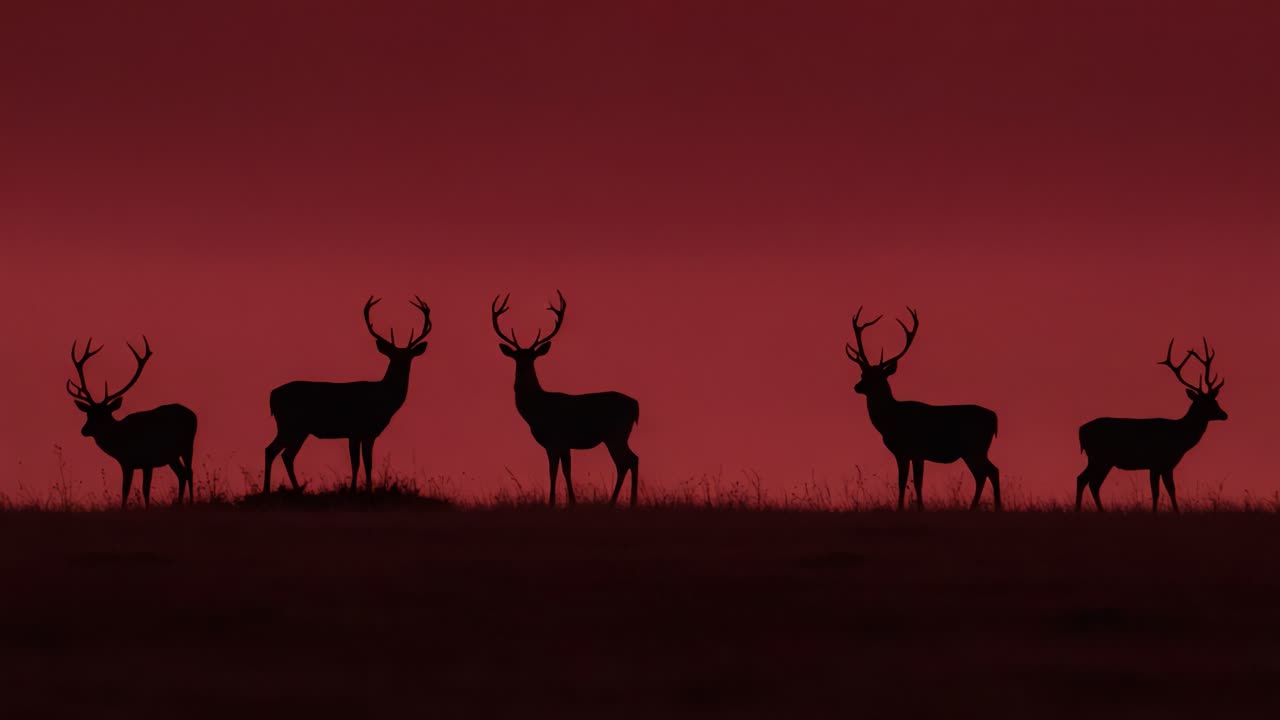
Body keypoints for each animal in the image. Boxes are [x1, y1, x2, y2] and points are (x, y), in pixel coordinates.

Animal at [66, 337, 198, 508]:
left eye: (103, 414)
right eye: (88, 413)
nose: (84, 430)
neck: (123, 442)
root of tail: (193, 414)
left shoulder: (148, 460)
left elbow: (145, 489)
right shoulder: (126, 464)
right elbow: (125, 490)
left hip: (188, 445)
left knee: (189, 472)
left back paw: (192, 502)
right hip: (172, 455)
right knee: (182, 474)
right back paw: (180, 503)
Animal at [264, 296, 431, 494]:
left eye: (409, 357)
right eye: (393, 357)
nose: (402, 367)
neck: (382, 399)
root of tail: (272, 395)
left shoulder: (368, 433)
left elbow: (367, 463)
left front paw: (366, 489)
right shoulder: (355, 429)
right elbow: (357, 463)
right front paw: (355, 490)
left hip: (298, 429)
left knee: (284, 455)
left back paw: (293, 490)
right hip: (290, 424)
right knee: (274, 451)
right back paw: (272, 490)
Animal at [491, 291, 640, 507]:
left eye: (532, 357)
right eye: (517, 357)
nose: (524, 368)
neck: (536, 409)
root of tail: (635, 405)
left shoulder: (554, 439)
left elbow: (554, 472)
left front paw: (553, 502)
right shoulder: (564, 444)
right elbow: (566, 471)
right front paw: (571, 501)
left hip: (616, 432)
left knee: (627, 461)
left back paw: (622, 501)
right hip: (616, 435)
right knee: (631, 460)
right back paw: (625, 501)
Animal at [844, 307, 1001, 511]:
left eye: (878, 376)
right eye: (863, 374)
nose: (857, 387)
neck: (890, 419)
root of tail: (994, 417)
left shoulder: (908, 450)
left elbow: (906, 481)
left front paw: (903, 508)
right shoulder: (914, 453)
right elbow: (916, 482)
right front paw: (918, 507)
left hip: (974, 447)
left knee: (988, 472)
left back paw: (986, 506)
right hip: (975, 449)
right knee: (987, 473)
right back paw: (985, 507)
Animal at [1076, 338, 1227, 513]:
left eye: (1215, 401)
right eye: (1204, 403)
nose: (1224, 414)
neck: (1179, 438)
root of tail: (1081, 430)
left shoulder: (1167, 465)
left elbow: (1171, 490)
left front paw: (1177, 512)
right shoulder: (1155, 463)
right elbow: (1156, 492)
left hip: (1097, 458)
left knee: (1084, 480)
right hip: (1101, 457)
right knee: (1090, 482)